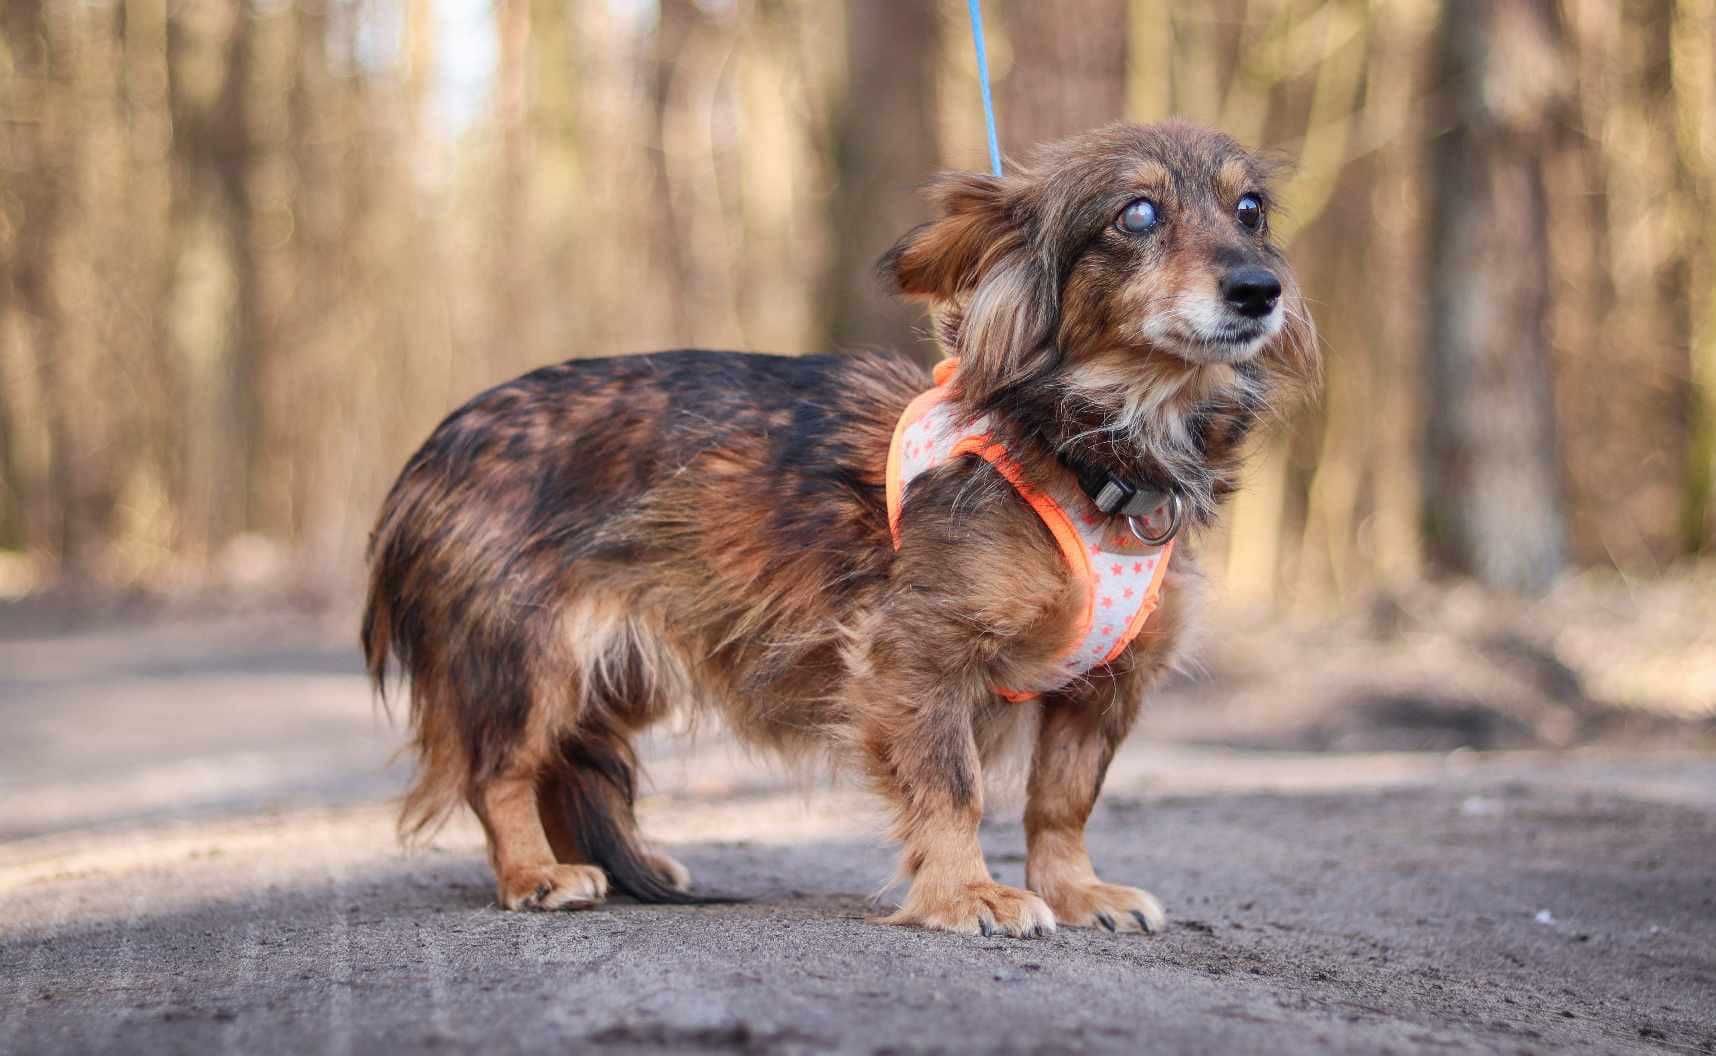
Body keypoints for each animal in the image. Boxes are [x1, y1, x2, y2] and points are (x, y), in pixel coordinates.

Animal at [362, 120, 1317, 940]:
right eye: (1138, 214)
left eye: (1251, 211)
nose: (1259, 289)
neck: (1091, 448)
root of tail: (440, 442)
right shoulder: (917, 657)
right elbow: (955, 788)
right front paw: (968, 893)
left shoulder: (1104, 688)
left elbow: (1062, 803)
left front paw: (1077, 891)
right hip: (532, 659)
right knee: (502, 770)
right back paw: (534, 875)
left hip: (621, 671)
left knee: (562, 763)